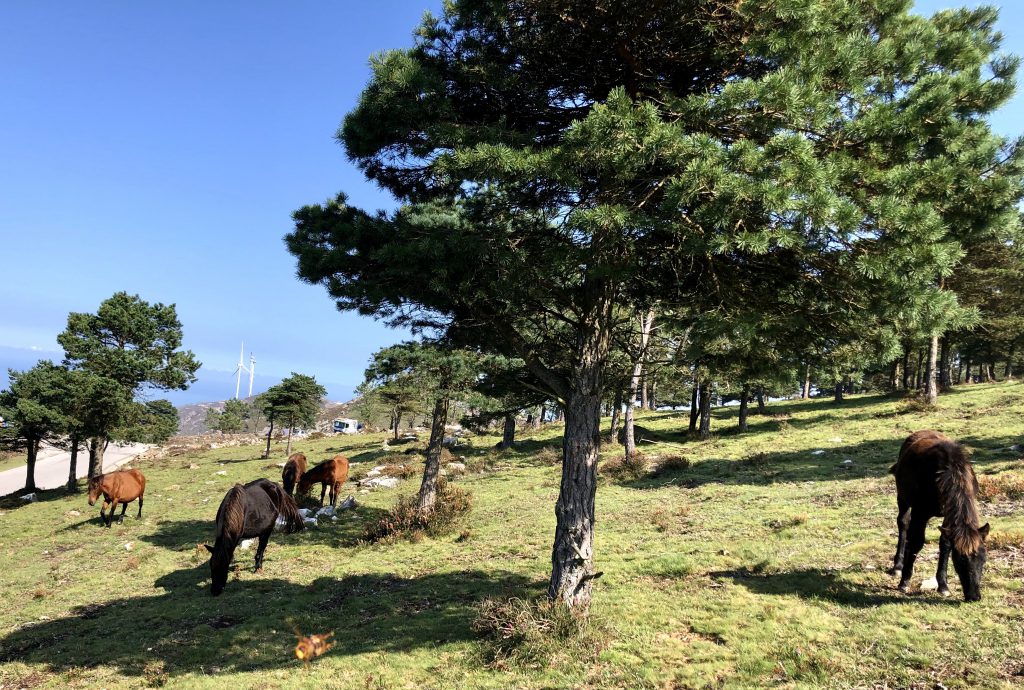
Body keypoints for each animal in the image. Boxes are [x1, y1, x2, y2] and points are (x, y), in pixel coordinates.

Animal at [888, 427, 991, 597]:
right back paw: (898, 566)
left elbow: (945, 544)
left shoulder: (948, 516)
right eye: (959, 561)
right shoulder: (920, 513)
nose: (974, 596)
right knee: (903, 523)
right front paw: (904, 581)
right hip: (903, 499)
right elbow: (917, 542)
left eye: (983, 559)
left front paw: (943, 585)